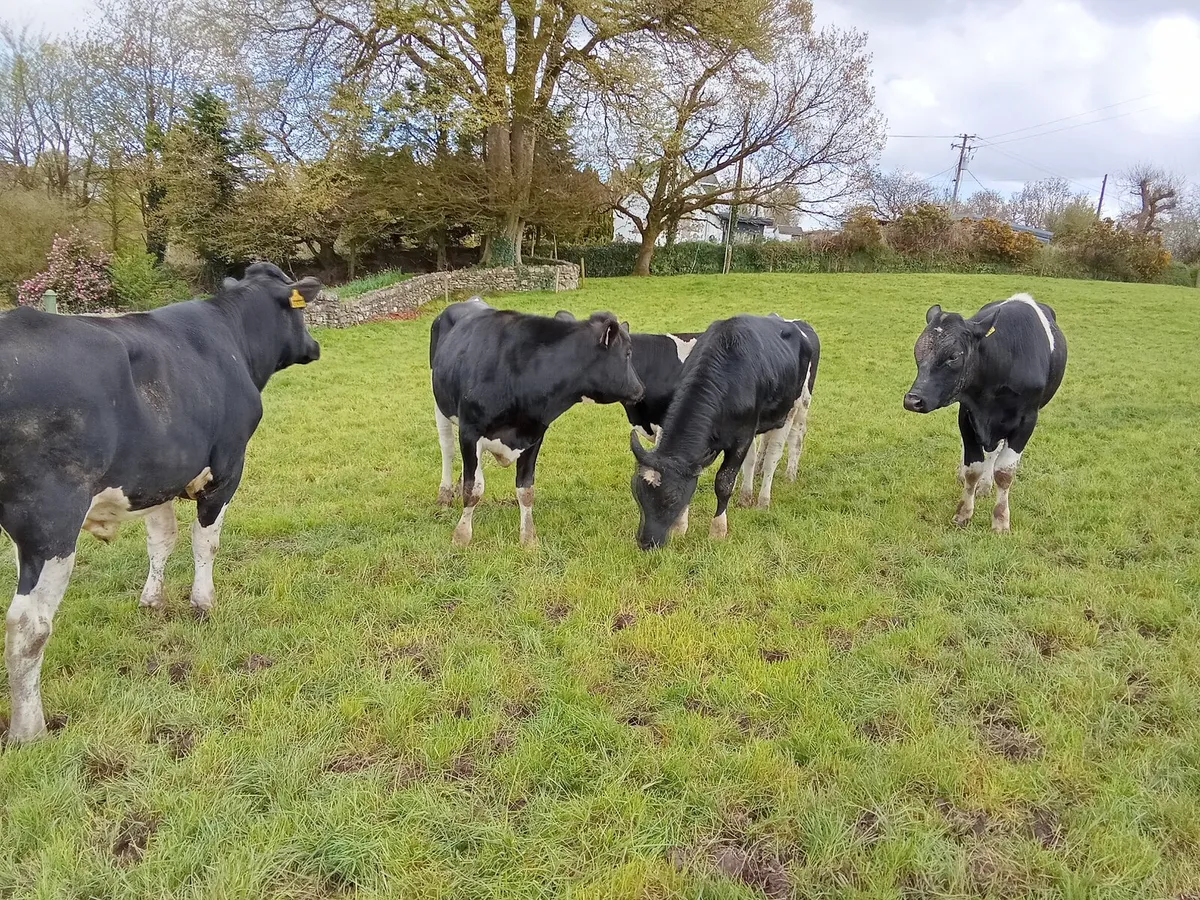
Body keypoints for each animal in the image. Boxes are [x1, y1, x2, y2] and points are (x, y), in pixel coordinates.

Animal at [0, 262, 321, 743]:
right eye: (300, 312)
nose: (315, 346)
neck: (232, 339)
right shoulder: (227, 468)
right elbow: (205, 541)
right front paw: (203, 602)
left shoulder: (156, 476)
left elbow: (162, 539)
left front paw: (152, 600)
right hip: (50, 521)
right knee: (28, 625)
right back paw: (29, 730)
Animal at [431, 299, 644, 547]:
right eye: (628, 353)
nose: (640, 389)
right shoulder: (470, 431)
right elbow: (473, 488)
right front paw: (462, 535)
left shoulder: (534, 434)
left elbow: (526, 489)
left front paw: (529, 538)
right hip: (440, 404)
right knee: (448, 449)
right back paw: (445, 494)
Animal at [629, 314, 816, 550]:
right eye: (637, 492)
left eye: (671, 498)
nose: (646, 542)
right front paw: (680, 528)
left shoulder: (742, 437)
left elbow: (724, 482)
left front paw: (718, 530)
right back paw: (748, 492)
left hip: (796, 407)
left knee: (782, 449)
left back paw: (769, 494)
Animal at [903, 292, 1067, 533]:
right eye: (918, 351)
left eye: (954, 356)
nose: (913, 400)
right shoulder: (967, 414)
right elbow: (974, 468)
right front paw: (964, 513)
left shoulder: (1027, 420)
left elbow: (1005, 472)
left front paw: (1000, 521)